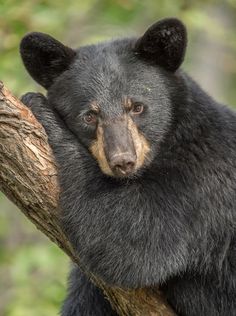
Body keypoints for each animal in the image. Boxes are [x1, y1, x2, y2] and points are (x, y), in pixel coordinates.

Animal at [19, 17, 236, 316]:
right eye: (89, 115)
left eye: (137, 107)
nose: (123, 161)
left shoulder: (203, 180)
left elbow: (131, 243)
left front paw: (39, 106)